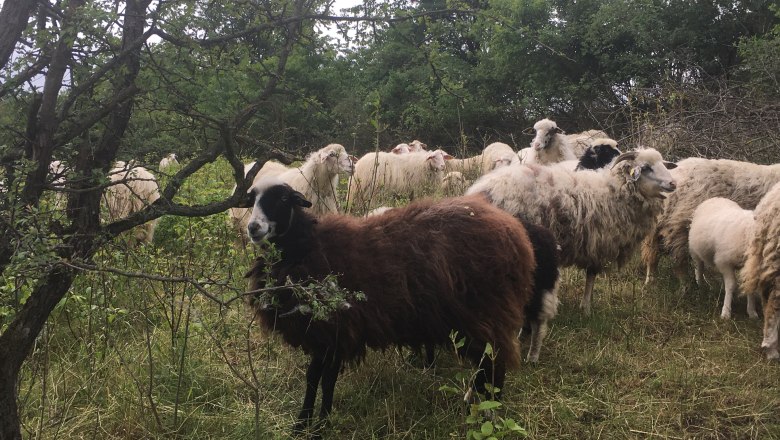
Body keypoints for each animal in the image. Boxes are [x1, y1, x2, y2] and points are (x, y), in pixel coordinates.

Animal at [244, 179, 536, 434]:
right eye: (252, 199)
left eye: (283, 199)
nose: (253, 228)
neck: (307, 247)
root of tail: (516, 234)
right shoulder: (328, 336)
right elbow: (317, 378)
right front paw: (306, 424)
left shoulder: (336, 330)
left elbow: (323, 379)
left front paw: (317, 426)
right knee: (486, 365)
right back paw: (473, 405)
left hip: (487, 312)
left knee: (494, 365)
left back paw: (489, 414)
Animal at [470, 150, 676, 314]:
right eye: (646, 167)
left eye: (662, 164)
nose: (673, 183)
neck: (613, 191)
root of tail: (480, 191)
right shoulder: (597, 242)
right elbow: (591, 276)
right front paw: (586, 309)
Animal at [640, 158, 780, 286]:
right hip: (680, 224)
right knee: (679, 259)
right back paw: (687, 287)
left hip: (658, 225)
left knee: (652, 254)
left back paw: (650, 282)